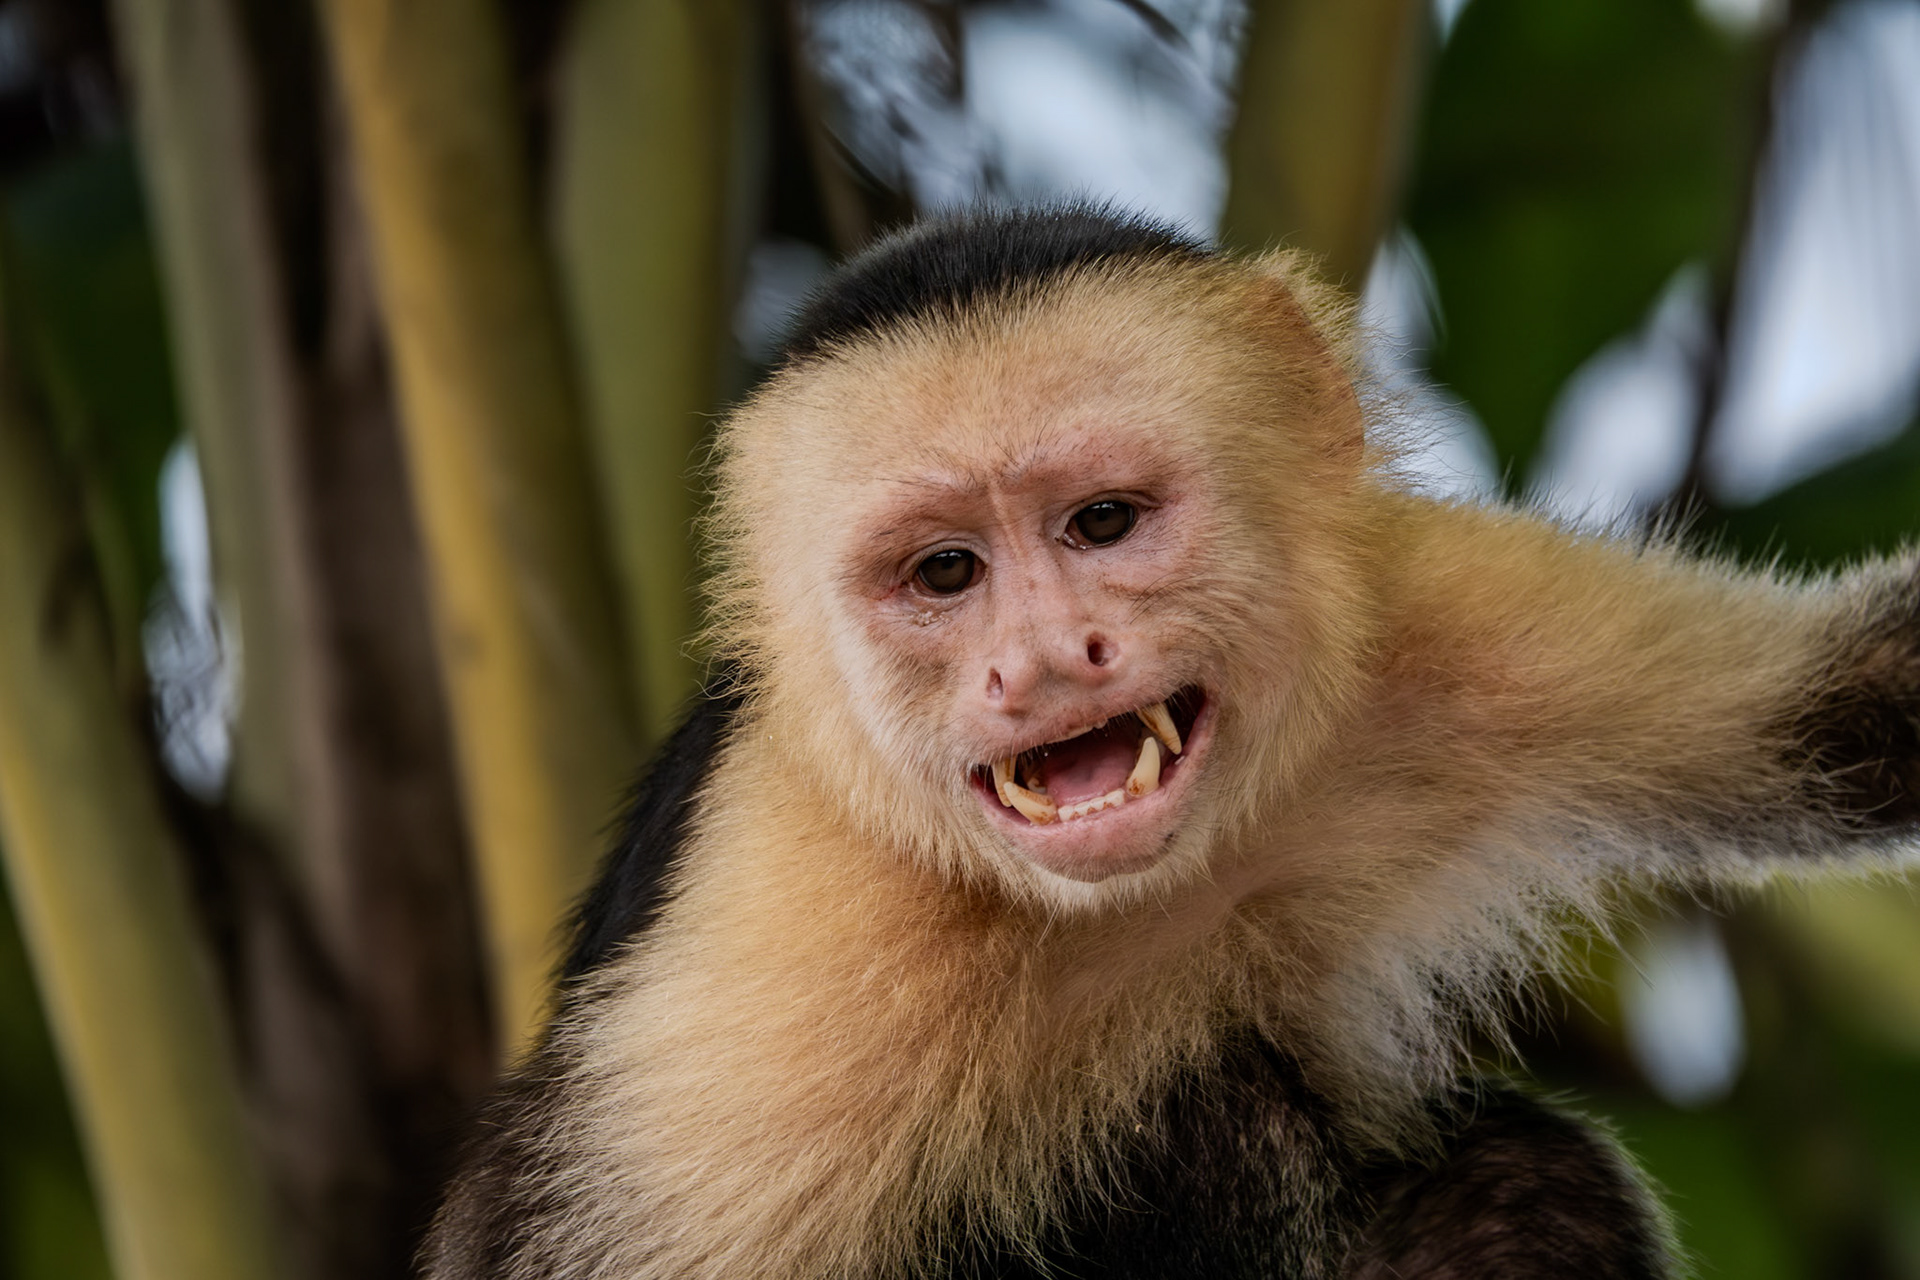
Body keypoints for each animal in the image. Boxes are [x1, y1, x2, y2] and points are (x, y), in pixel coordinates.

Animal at [423, 204, 1920, 1279]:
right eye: (947, 572)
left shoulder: (1425, 612)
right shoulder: (800, 913)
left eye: (1102, 522)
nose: (1040, 663)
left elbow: (1850, 714)